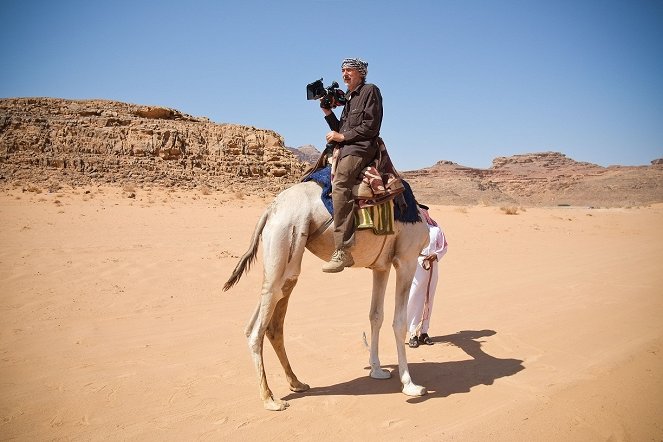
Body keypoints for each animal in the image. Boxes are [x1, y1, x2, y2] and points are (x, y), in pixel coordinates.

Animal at [223, 180, 430, 410]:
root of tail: (269, 210)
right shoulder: (406, 259)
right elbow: (399, 323)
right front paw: (410, 385)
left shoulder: (381, 266)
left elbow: (376, 316)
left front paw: (377, 370)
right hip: (285, 237)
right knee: (257, 329)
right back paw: (270, 399)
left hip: (283, 259)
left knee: (267, 319)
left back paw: (296, 382)